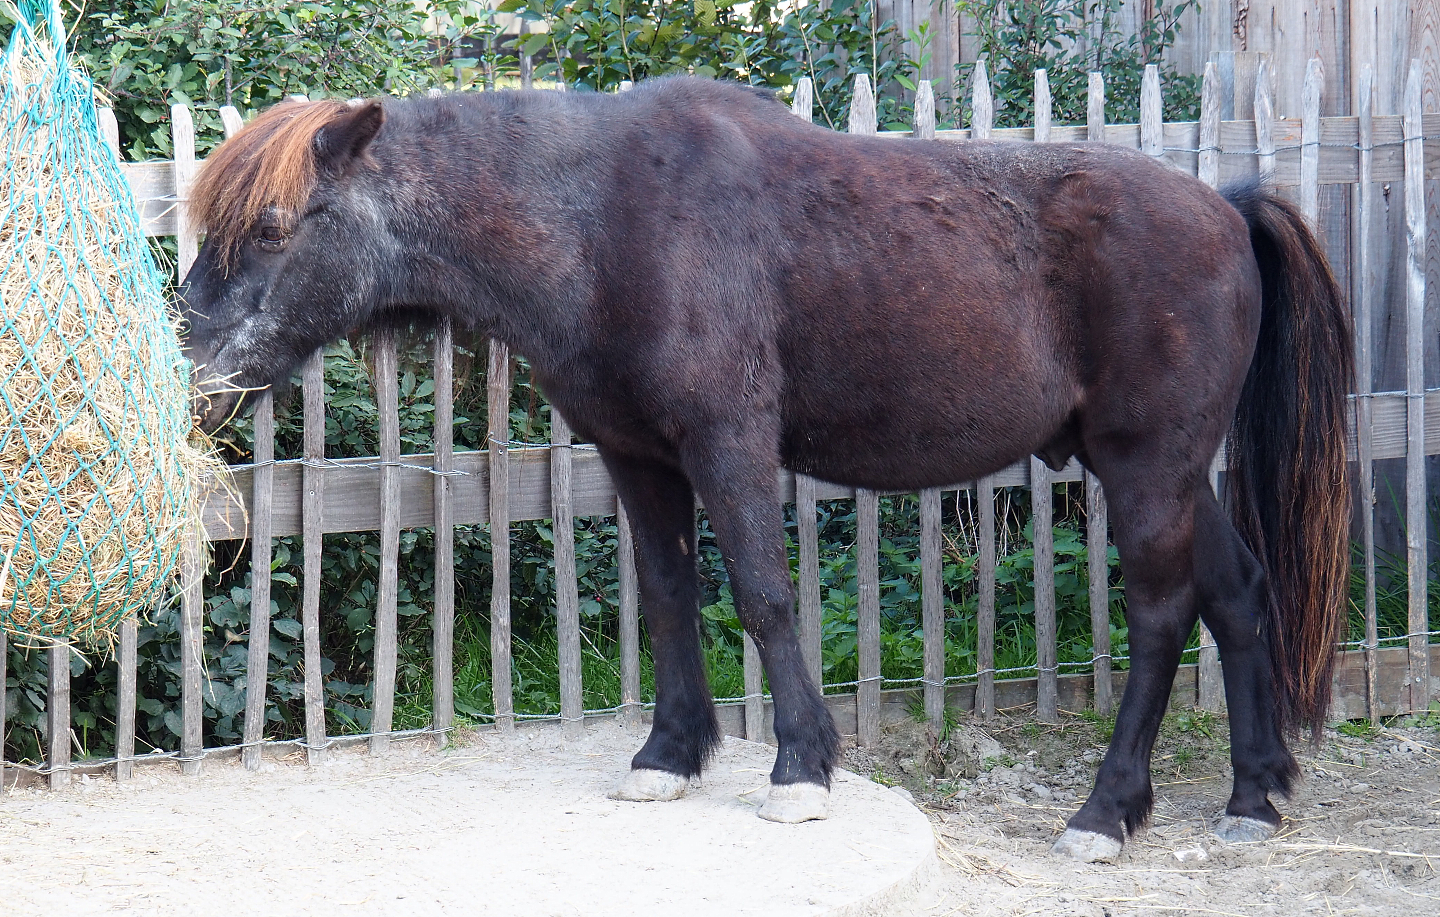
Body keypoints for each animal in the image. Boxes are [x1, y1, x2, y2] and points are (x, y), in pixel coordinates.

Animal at [179, 77, 1353, 862]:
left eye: (273, 225)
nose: (188, 357)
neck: (602, 219)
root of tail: (1226, 207)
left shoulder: (728, 443)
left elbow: (764, 596)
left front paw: (799, 768)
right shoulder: (639, 456)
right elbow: (668, 593)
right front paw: (668, 753)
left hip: (1147, 467)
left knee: (1161, 612)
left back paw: (1107, 810)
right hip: (1166, 470)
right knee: (1238, 591)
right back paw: (1253, 797)